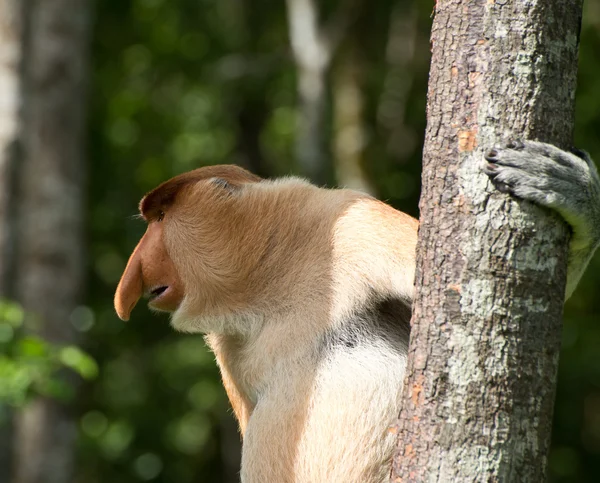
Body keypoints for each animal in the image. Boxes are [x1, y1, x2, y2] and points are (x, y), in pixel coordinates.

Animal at [115, 143, 596, 483]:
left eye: (161, 217)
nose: (133, 276)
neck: (269, 282)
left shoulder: (354, 221)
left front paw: (569, 190)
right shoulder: (226, 347)